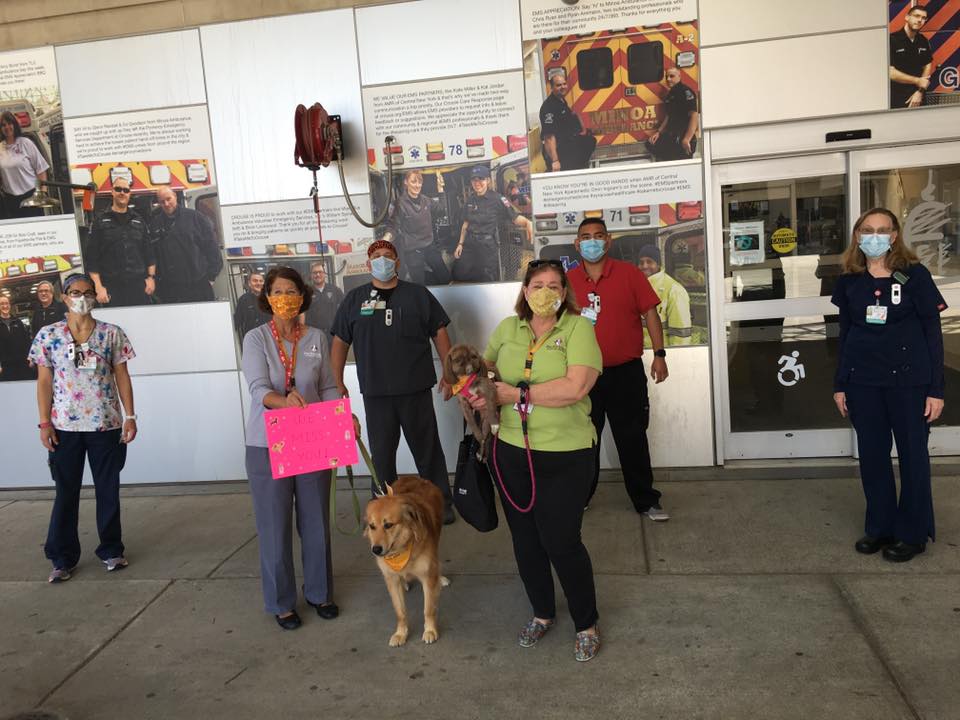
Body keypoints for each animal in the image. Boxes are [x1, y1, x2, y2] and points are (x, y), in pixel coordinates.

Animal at [364, 476, 450, 644]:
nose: (376, 550)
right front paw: (400, 634)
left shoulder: (427, 577)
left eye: (388, 525)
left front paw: (430, 631)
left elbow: (428, 609)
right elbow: (400, 612)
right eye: (372, 526)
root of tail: (413, 477)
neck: (401, 551)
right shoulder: (391, 580)